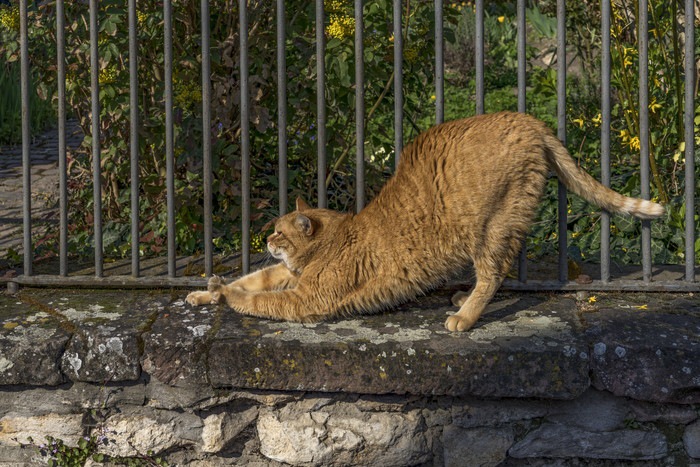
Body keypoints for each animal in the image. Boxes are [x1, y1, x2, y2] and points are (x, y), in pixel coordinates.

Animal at [185, 112, 660, 332]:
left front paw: (228, 298)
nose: (265, 239)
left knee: (493, 273)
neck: (338, 235)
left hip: (490, 227)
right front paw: (209, 291)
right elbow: (249, 281)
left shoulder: (306, 299)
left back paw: (464, 316)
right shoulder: (284, 275)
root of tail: (524, 117)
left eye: (279, 232)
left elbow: (257, 300)